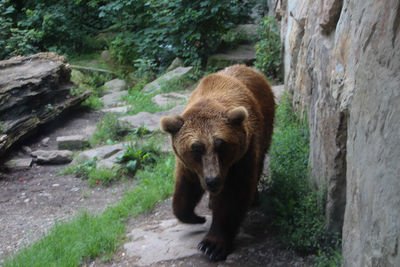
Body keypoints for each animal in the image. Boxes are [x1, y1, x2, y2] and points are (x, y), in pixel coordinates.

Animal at [159, 64, 276, 262]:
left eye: (221, 145)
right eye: (196, 149)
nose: (212, 181)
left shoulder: (241, 156)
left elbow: (233, 195)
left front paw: (212, 245)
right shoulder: (190, 165)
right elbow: (185, 187)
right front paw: (195, 216)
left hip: (265, 129)